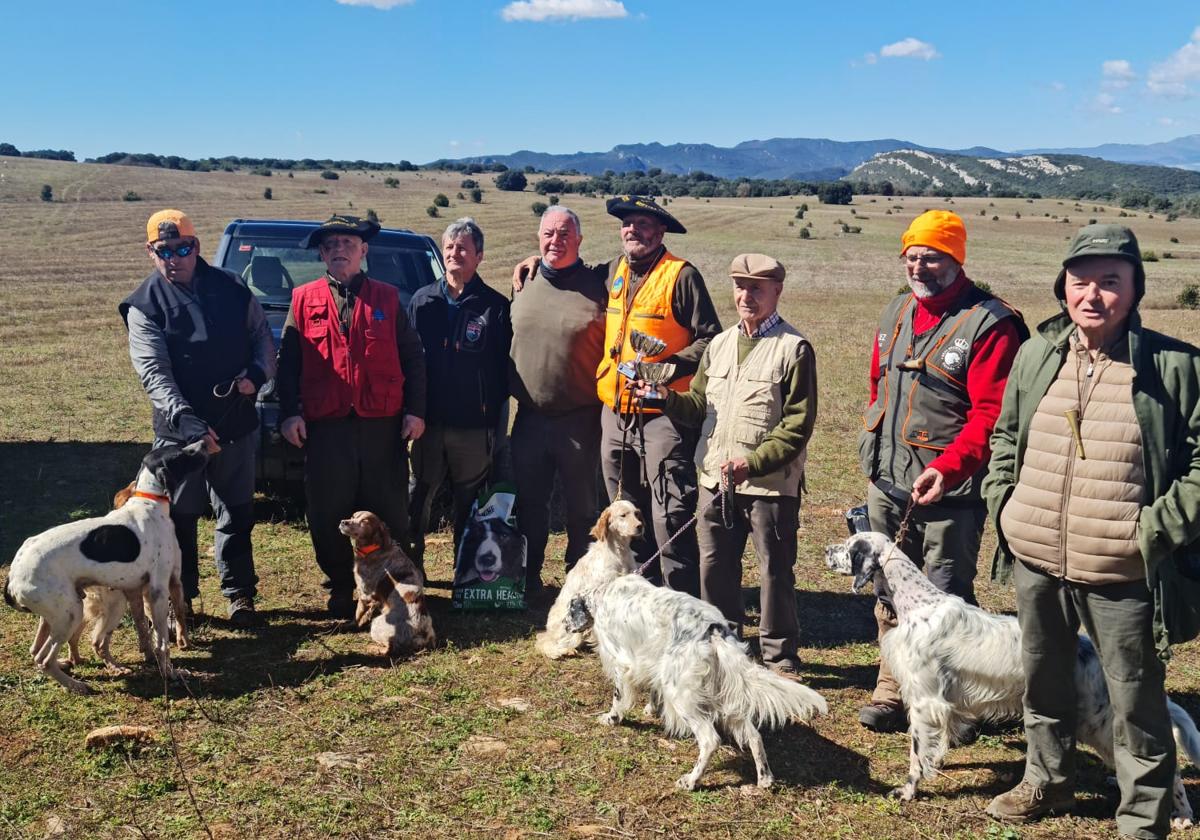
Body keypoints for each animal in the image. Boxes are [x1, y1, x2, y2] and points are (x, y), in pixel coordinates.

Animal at [537, 499, 643, 662]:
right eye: (623, 515)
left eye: (636, 513)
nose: (640, 526)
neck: (620, 553)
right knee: (545, 642)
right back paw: (564, 651)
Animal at [561, 573, 825, 792]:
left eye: (569, 611)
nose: (564, 625)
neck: (602, 594)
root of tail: (713, 630)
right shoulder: (651, 662)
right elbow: (653, 691)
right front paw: (651, 709)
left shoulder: (621, 663)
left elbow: (618, 698)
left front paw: (611, 718)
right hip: (726, 696)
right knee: (753, 735)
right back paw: (765, 778)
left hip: (682, 696)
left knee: (710, 740)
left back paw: (691, 780)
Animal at [825, 535, 1200, 825]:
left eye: (848, 546)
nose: (828, 549)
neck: (919, 604)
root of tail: (1095, 656)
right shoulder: (944, 703)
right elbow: (943, 741)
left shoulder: (924, 702)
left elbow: (917, 754)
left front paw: (907, 790)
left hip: (1098, 721)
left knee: (1169, 768)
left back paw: (1181, 816)